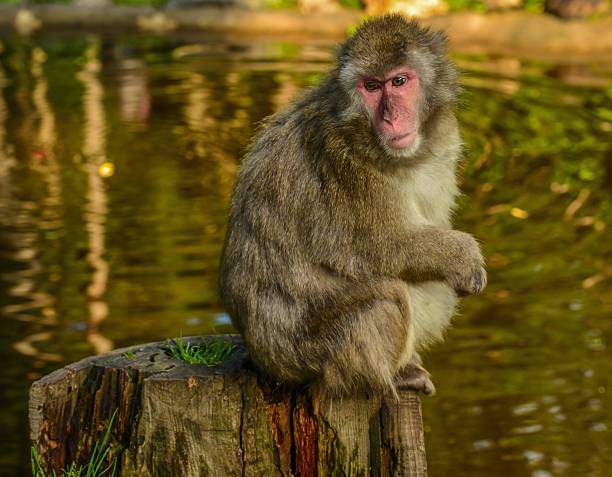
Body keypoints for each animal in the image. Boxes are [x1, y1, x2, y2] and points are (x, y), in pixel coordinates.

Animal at [218, 14, 486, 398]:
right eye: (371, 86)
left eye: (399, 81)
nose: (390, 117)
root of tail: (262, 362)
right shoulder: (343, 163)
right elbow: (379, 247)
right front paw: (463, 256)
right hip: (308, 356)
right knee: (386, 299)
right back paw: (389, 377)